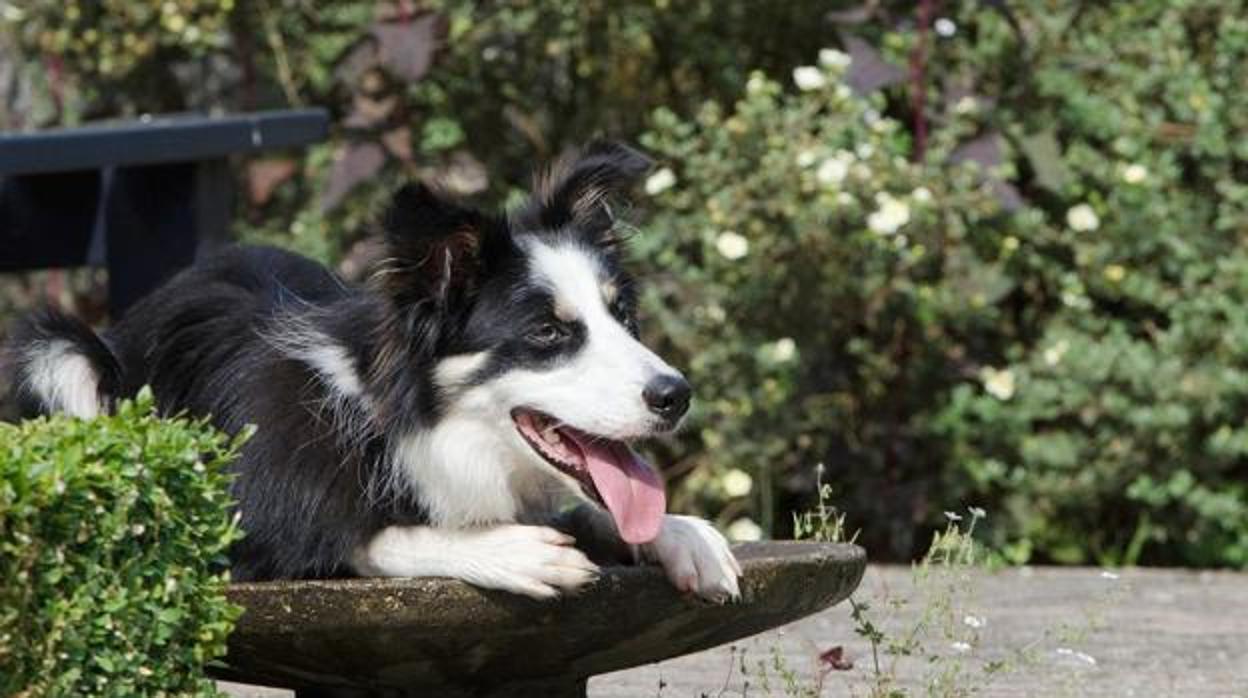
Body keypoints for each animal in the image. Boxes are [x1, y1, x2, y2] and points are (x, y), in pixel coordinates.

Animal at [4, 140, 738, 601]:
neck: (401, 423)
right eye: (548, 333)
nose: (676, 396)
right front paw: (513, 550)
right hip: (55, 353)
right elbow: (366, 536)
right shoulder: (233, 524)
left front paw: (684, 535)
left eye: (623, 315)